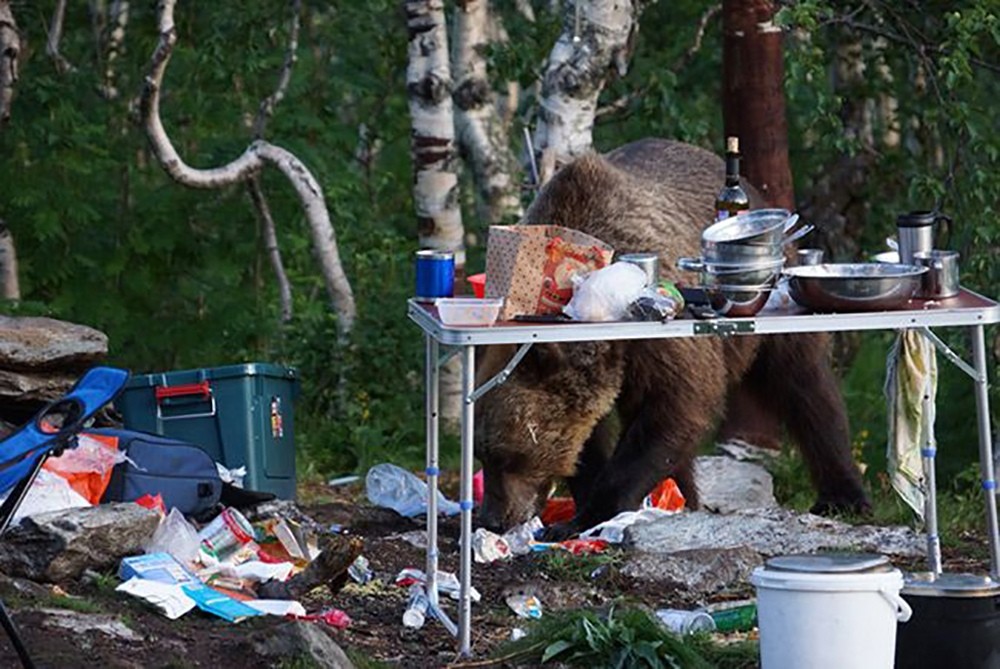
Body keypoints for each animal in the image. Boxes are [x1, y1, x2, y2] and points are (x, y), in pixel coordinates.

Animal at [472, 137, 872, 536]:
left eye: (506, 455)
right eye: (482, 453)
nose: (493, 518)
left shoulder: (657, 344)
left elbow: (674, 408)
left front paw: (587, 516)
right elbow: (594, 437)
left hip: (772, 318)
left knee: (805, 388)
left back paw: (843, 496)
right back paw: (685, 498)